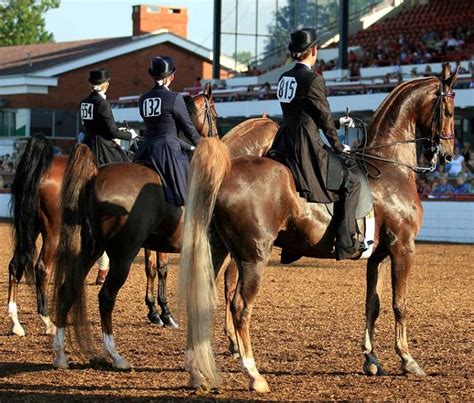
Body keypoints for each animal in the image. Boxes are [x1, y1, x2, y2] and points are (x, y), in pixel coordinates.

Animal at [6, 87, 218, 338]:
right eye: (214, 115)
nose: (215, 139)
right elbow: (161, 269)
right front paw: (164, 313)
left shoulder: (147, 239)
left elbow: (150, 269)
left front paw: (154, 311)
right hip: (54, 232)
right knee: (42, 269)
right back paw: (48, 320)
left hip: (32, 227)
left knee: (16, 264)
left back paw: (16, 322)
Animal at [49, 109, 278, 370]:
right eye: (213, 112)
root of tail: (96, 173)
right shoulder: (233, 254)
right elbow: (229, 292)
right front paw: (233, 343)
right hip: (123, 254)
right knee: (106, 297)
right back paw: (115, 355)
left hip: (91, 247)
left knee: (68, 288)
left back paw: (60, 354)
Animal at [179, 63, 460, 394]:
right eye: (450, 110)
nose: (448, 154)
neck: (389, 167)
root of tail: (226, 173)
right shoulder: (403, 247)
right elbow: (399, 303)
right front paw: (408, 360)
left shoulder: (377, 255)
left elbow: (373, 304)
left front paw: (371, 360)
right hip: (253, 256)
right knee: (239, 306)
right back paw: (253, 374)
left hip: (217, 249)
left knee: (202, 299)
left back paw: (199, 372)